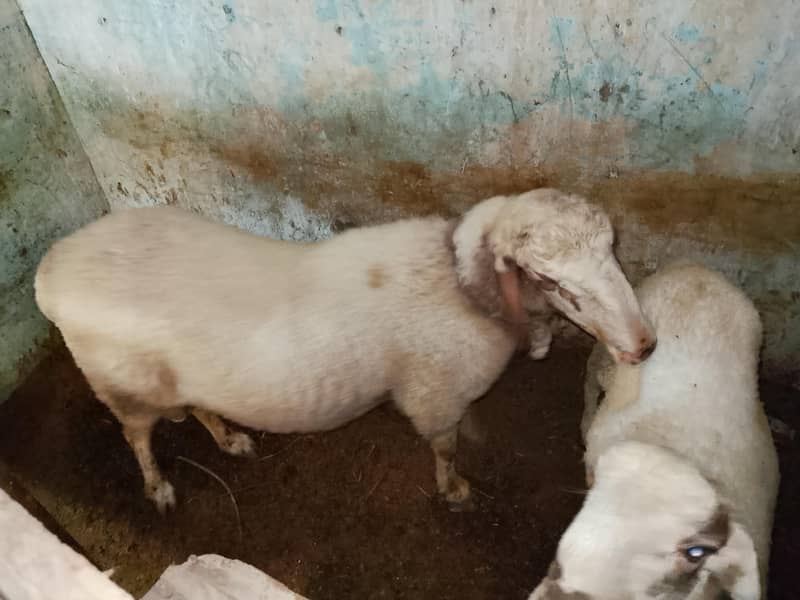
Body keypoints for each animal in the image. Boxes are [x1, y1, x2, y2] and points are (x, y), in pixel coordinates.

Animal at [34, 188, 655, 513]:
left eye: (613, 253)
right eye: (552, 282)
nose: (645, 346)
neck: (456, 284)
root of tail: (52, 268)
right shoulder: (434, 397)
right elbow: (446, 448)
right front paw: (454, 489)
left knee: (199, 406)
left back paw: (230, 438)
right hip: (123, 386)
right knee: (136, 436)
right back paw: (158, 486)